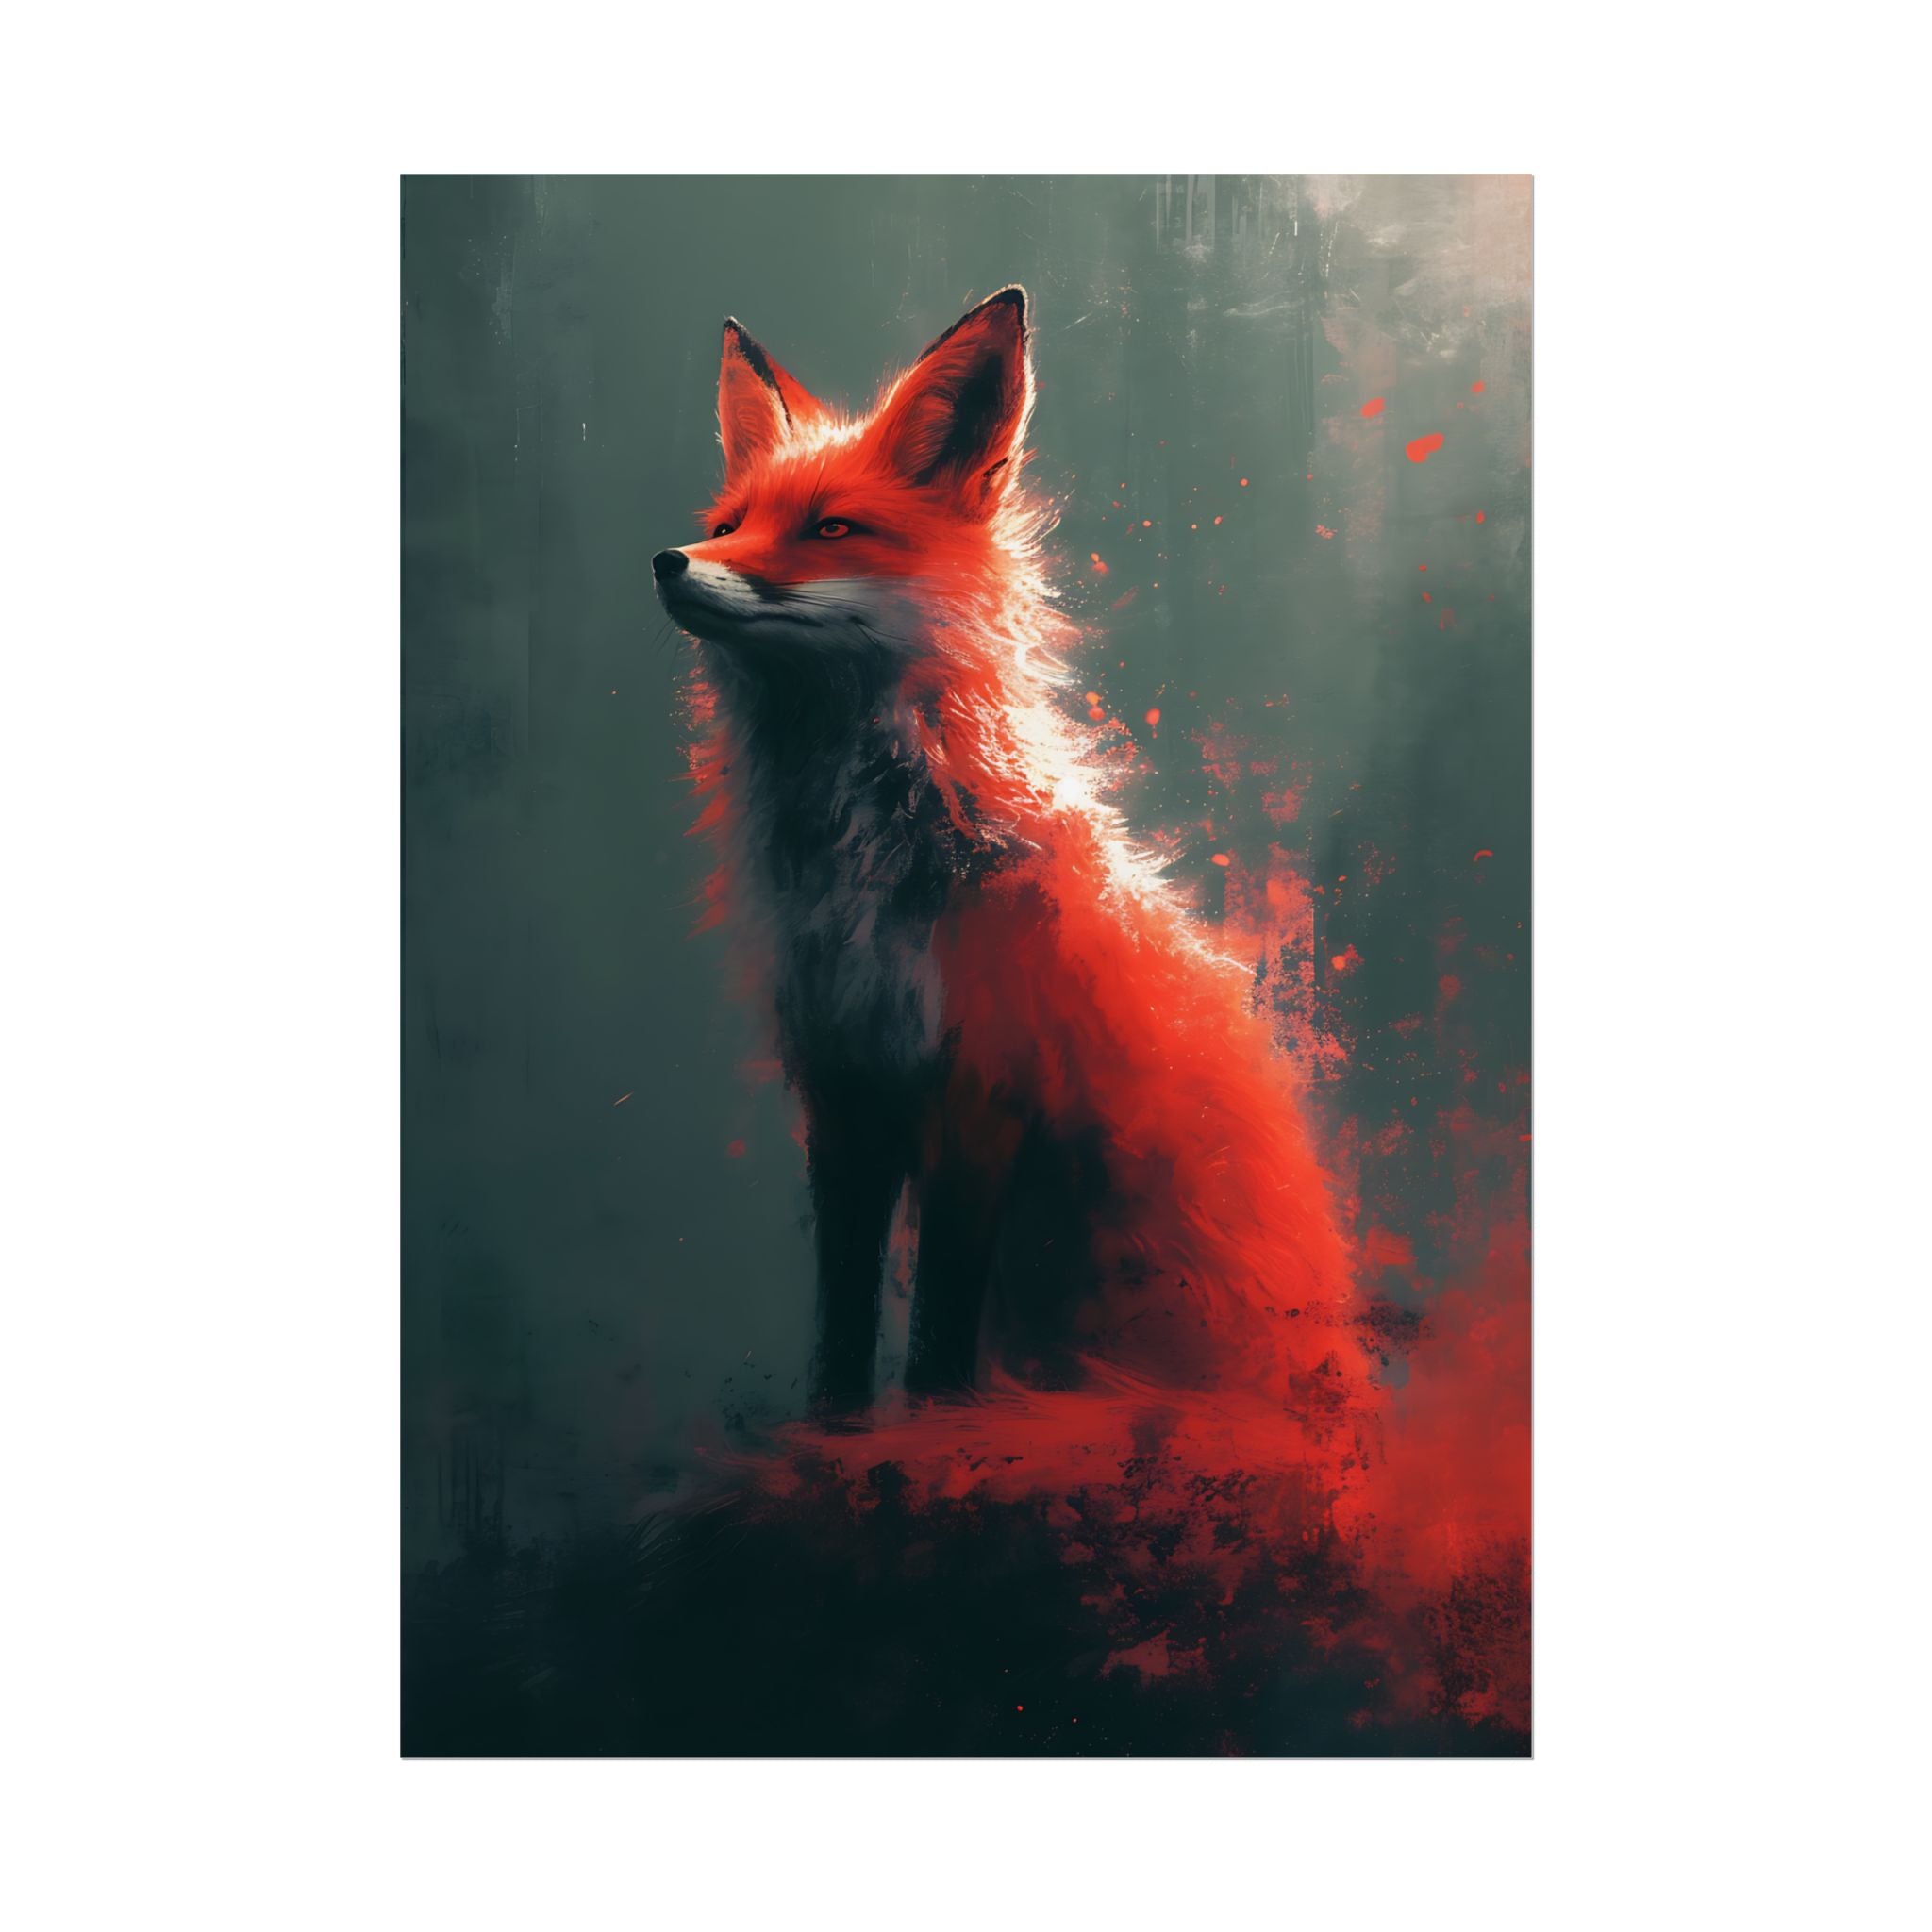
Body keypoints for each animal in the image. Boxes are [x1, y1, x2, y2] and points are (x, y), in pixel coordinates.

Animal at [653, 286, 1375, 1446]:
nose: (670, 561)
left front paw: (931, 1432)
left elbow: (938, 1335)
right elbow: (842, 1317)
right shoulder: (843, 1090)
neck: (866, 871)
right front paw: (833, 1435)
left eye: (830, 528)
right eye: (729, 526)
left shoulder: (981, 1089)